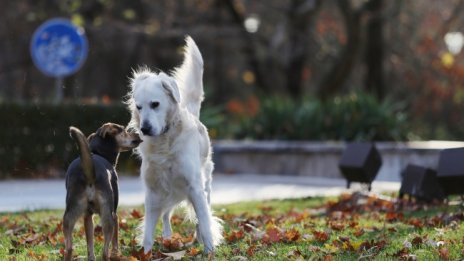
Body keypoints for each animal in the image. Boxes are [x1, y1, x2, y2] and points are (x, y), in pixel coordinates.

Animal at [63, 123, 141, 258]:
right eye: (124, 130)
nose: (138, 133)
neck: (98, 152)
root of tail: (89, 173)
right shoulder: (115, 215)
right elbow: (115, 242)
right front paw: (116, 254)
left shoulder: (87, 216)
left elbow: (90, 247)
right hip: (107, 216)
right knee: (105, 252)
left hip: (69, 216)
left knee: (69, 249)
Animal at [126, 36, 222, 252]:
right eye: (139, 107)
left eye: (155, 104)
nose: (144, 128)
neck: (165, 143)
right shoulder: (153, 191)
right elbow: (148, 233)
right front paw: (146, 253)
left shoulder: (194, 187)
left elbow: (204, 222)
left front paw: (209, 250)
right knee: (166, 215)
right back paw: (168, 237)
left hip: (205, 186)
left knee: (201, 215)